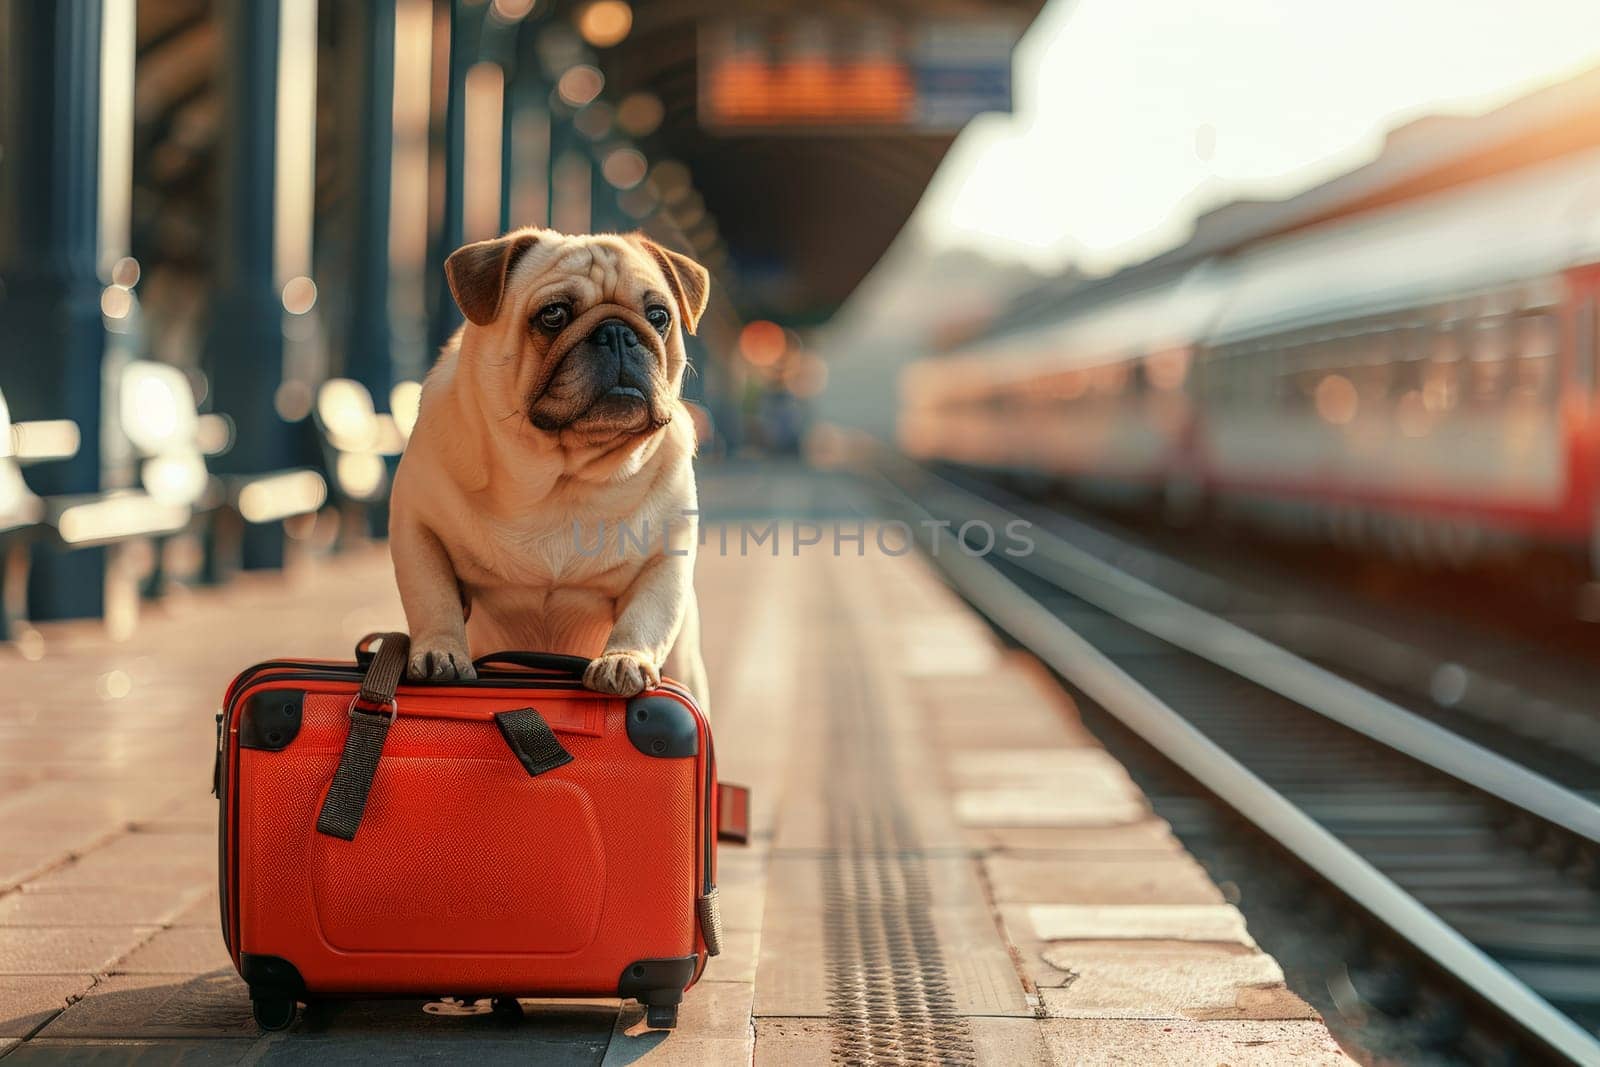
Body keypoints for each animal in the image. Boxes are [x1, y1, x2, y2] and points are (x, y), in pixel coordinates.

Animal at [387, 227, 707, 710]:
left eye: (658, 316)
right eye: (553, 315)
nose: (617, 333)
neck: (561, 476)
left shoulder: (665, 558)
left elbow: (646, 615)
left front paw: (624, 660)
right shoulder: (418, 529)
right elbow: (432, 597)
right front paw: (440, 651)